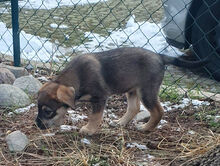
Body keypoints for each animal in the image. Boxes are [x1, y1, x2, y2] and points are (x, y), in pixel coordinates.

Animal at [36, 46, 208, 135]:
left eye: (48, 111)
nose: (37, 125)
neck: (77, 77)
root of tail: (160, 56)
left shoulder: (100, 98)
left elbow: (95, 116)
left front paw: (89, 130)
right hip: (132, 90)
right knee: (134, 108)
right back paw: (120, 123)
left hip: (147, 91)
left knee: (158, 111)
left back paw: (146, 128)